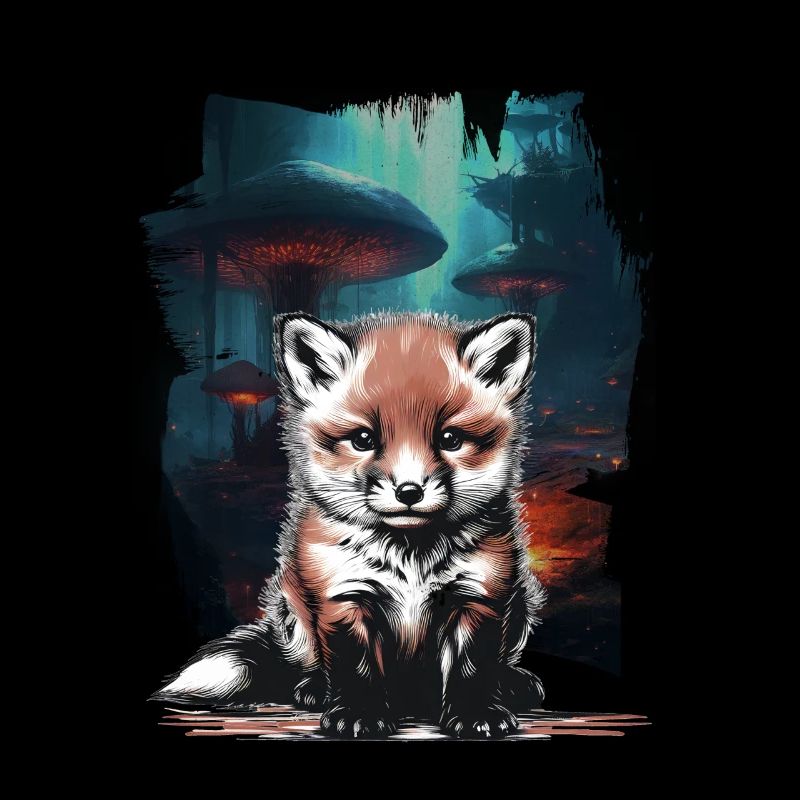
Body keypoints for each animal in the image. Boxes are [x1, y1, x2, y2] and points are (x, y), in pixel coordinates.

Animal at [152, 311, 546, 739]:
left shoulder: (478, 595)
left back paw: (512, 683)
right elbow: (356, 667)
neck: (410, 557)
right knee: (305, 663)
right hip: (293, 609)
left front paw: (477, 712)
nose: (409, 491)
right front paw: (360, 712)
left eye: (450, 438)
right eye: (363, 439)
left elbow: (472, 665)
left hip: (520, 604)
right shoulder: (343, 595)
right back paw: (313, 688)